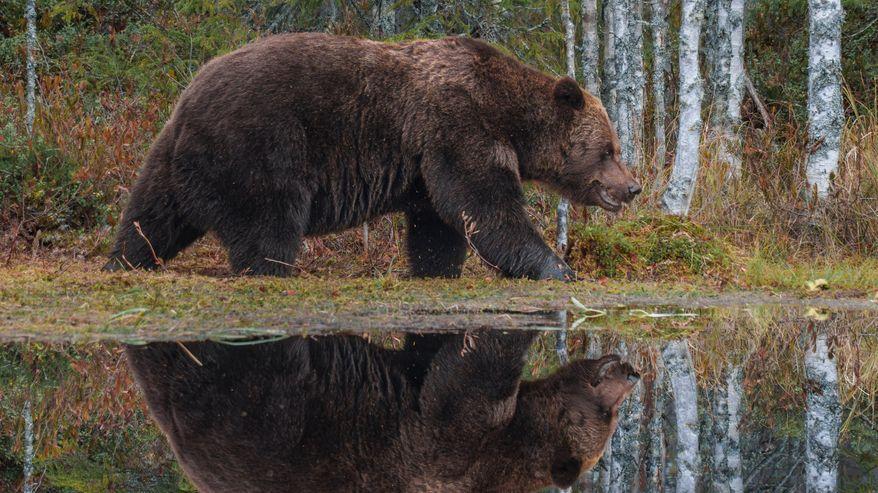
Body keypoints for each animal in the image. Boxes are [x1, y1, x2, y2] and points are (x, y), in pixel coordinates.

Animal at [105, 33, 640, 280]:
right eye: (608, 150)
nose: (632, 186)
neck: (510, 119)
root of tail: (190, 94)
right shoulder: (459, 127)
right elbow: (485, 209)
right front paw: (556, 266)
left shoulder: (427, 162)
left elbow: (439, 224)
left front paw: (434, 267)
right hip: (260, 144)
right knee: (269, 223)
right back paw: (271, 266)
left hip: (174, 156)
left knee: (151, 216)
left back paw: (126, 259)